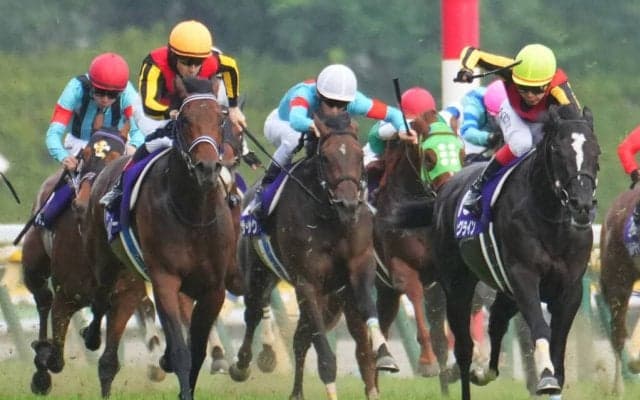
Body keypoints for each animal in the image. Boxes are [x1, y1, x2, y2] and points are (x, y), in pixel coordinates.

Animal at [21, 127, 165, 396]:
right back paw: (41, 366)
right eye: (84, 155)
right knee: (43, 299)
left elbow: (108, 362)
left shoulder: (124, 297)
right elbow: (55, 358)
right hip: (34, 264)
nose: (84, 202)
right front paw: (42, 360)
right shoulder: (66, 296)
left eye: (117, 158)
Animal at [83, 76, 234, 400]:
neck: (194, 213)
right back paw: (90, 336)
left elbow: (197, 350)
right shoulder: (164, 278)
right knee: (100, 298)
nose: (207, 167)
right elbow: (181, 351)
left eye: (220, 119)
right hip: (105, 260)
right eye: (185, 120)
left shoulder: (213, 288)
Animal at [229, 109, 399, 399]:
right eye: (326, 157)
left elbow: (367, 317)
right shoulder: (306, 283)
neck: (331, 218)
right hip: (258, 275)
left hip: (331, 298)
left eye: (359, 156)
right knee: (253, 313)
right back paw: (244, 364)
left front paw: (384, 355)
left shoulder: (358, 269)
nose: (348, 204)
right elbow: (325, 355)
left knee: (305, 339)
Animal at [371, 110, 454, 392]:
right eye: (429, 158)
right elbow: (417, 302)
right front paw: (427, 362)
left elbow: (442, 338)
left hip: (385, 292)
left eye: (461, 152)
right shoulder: (402, 267)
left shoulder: (440, 281)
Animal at [430, 104, 600, 400]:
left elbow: (559, 348)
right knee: (463, 347)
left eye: (596, 151)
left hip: (504, 290)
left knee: (497, 321)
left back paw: (484, 372)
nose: (582, 206)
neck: (551, 218)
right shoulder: (524, 276)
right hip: (457, 284)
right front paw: (545, 376)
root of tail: (448, 187)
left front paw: (553, 379)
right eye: (558, 150)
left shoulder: (570, 289)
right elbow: (540, 328)